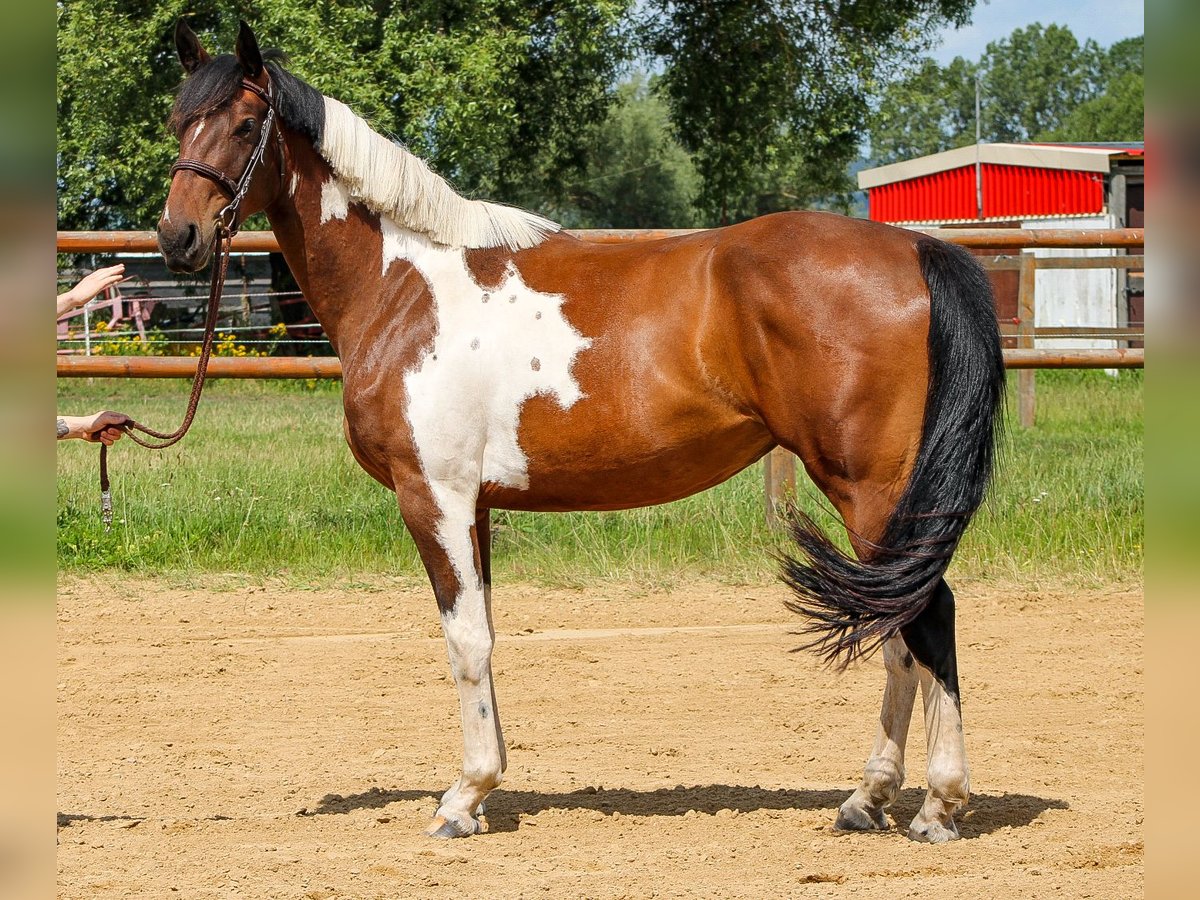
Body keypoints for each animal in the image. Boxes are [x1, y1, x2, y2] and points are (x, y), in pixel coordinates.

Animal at [157, 22, 1003, 844]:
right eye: (177, 120)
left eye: (243, 124)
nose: (177, 236)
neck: (406, 287)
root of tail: (916, 247)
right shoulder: (477, 506)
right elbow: (487, 634)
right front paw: (484, 791)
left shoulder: (434, 496)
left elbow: (465, 642)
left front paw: (461, 800)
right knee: (894, 623)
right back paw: (868, 799)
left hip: (871, 488)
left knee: (928, 617)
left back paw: (938, 807)